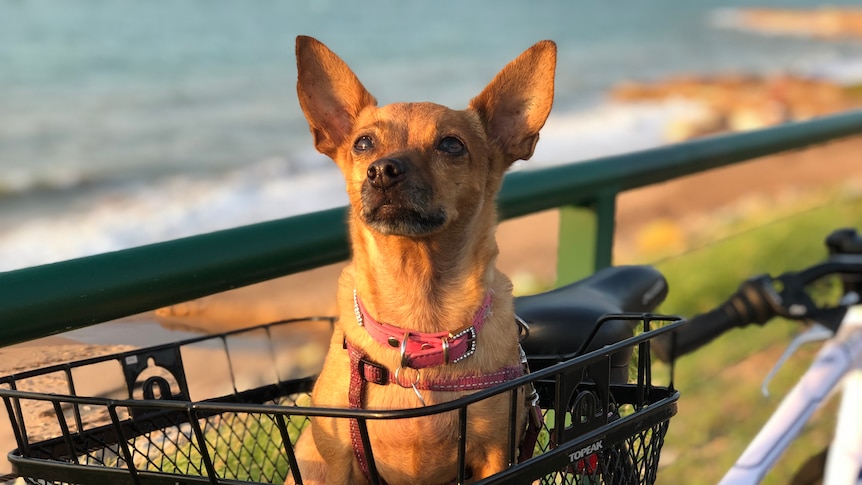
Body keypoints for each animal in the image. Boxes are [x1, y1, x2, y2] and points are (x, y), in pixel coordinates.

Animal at [290, 35, 556, 484]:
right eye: (363, 143)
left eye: (451, 145)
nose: (381, 170)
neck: (419, 324)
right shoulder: (339, 461)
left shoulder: (496, 456)